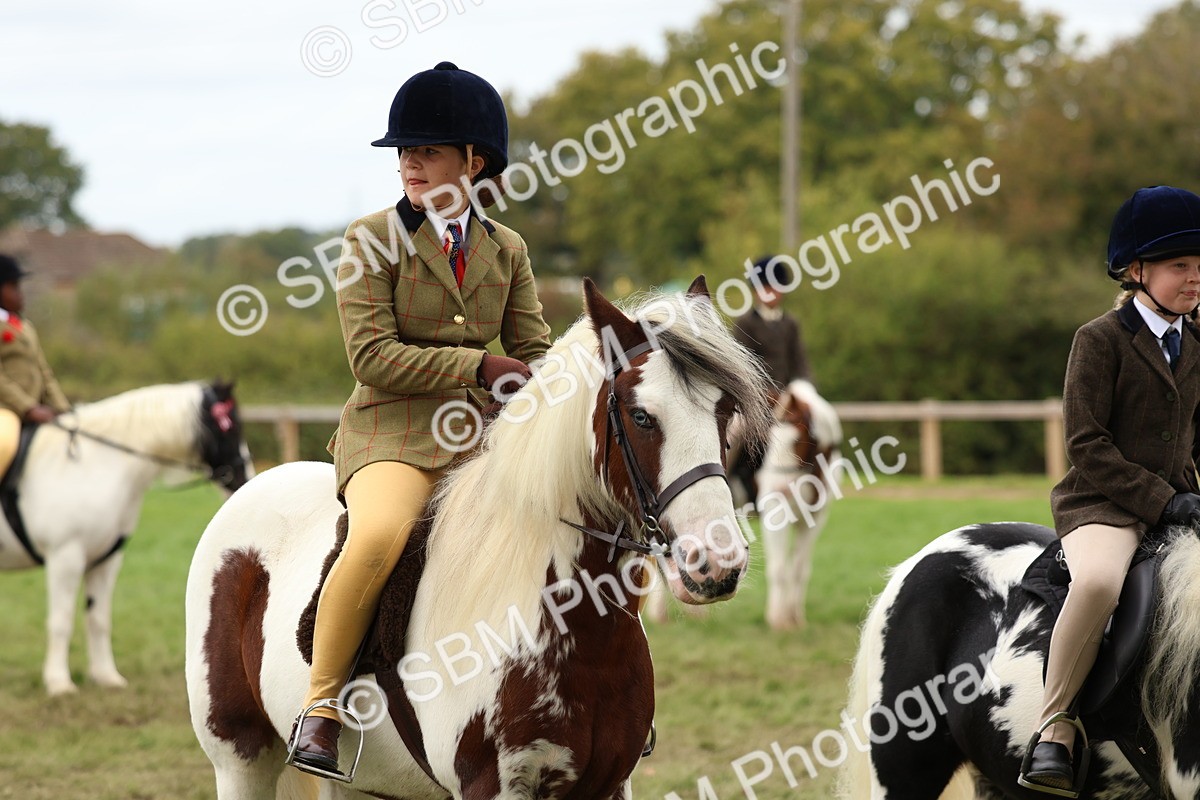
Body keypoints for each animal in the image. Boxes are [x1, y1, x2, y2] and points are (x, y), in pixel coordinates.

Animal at [0, 380, 251, 695]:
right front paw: (59, 683)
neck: (92, 468)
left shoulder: (106, 560)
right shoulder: (65, 557)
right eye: (230, 427)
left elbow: (98, 619)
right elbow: (61, 621)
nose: (245, 477)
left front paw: (106, 677)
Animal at [185, 277, 774, 799]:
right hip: (240, 761)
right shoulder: (493, 785)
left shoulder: (607, 783)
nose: (716, 563)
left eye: (725, 410)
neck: (576, 627)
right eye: (641, 416)